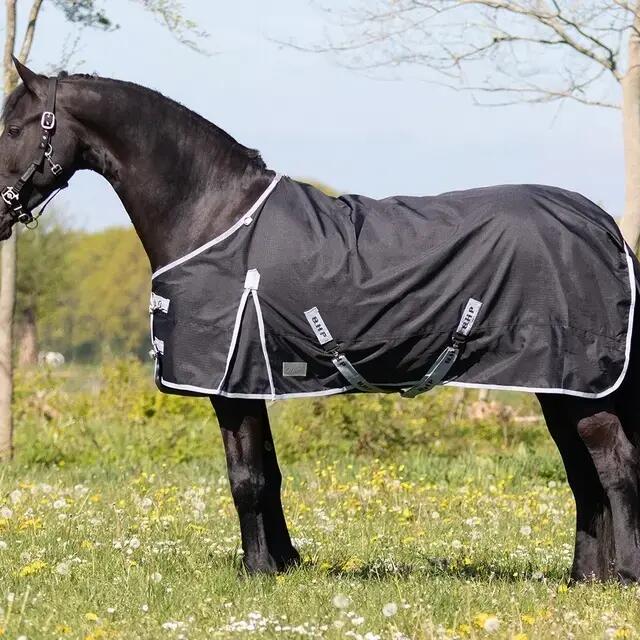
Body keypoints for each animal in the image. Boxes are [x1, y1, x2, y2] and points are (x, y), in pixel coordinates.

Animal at [1, 58, 639, 583]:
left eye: (13, 128)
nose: (0, 215)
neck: (213, 214)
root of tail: (603, 223)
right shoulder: (251, 380)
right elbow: (269, 474)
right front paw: (285, 562)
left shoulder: (230, 385)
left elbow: (247, 479)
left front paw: (257, 571)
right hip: (558, 385)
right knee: (583, 476)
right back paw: (585, 577)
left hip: (578, 384)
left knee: (614, 467)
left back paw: (622, 576)